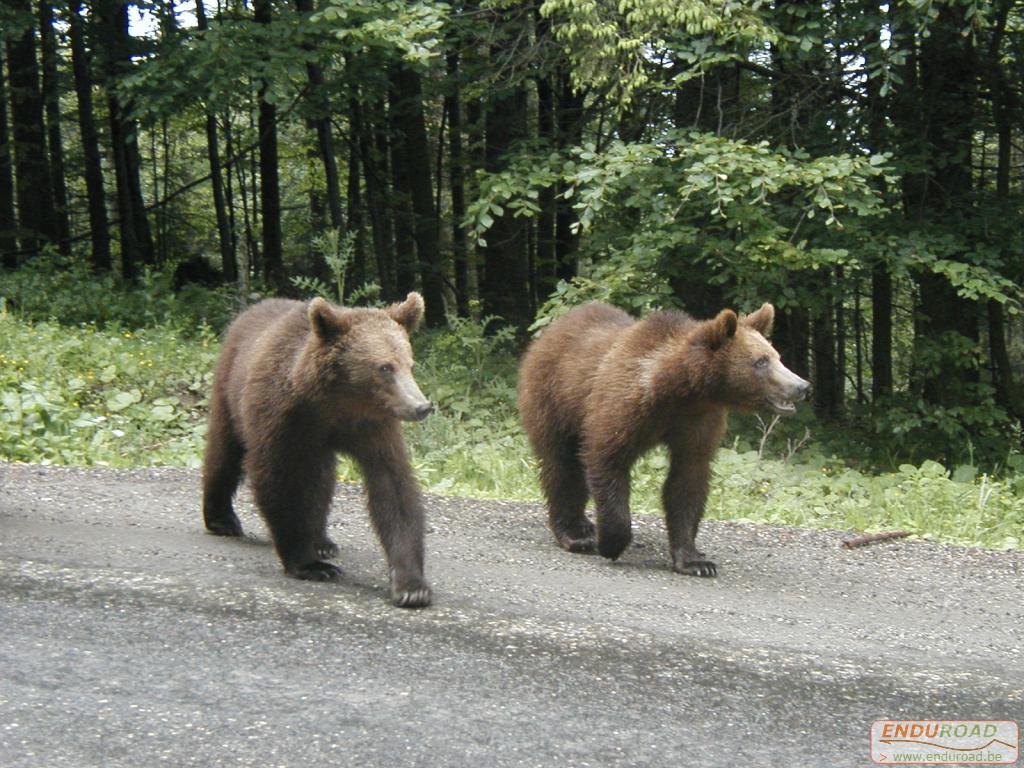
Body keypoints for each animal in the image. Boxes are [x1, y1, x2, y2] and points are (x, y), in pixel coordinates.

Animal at [201, 292, 434, 606]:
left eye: (410, 364)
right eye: (384, 367)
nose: (421, 407)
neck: (336, 403)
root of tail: (251, 309)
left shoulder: (372, 427)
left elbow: (393, 488)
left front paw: (412, 586)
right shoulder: (283, 419)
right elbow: (277, 478)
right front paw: (309, 564)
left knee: (321, 481)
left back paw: (323, 541)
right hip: (230, 389)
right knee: (225, 452)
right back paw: (221, 519)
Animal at [520, 301, 806, 577]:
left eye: (777, 356)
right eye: (761, 361)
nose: (801, 386)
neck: (680, 390)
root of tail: (552, 329)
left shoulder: (698, 422)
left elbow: (688, 480)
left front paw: (695, 561)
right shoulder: (623, 406)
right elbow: (608, 458)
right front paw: (611, 543)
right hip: (553, 399)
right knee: (562, 465)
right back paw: (575, 534)